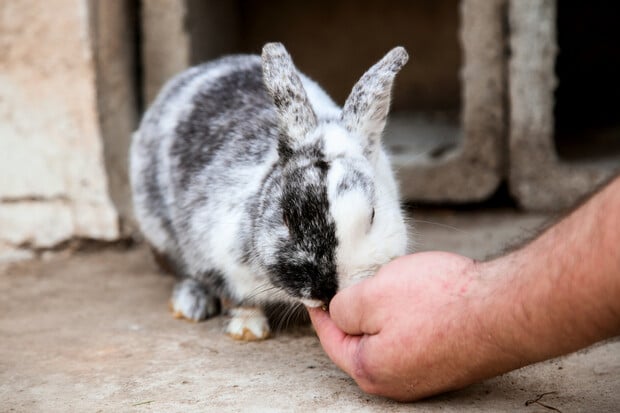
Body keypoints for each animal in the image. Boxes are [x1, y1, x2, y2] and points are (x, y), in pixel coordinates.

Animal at [130, 41, 412, 340]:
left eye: (372, 216)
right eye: (286, 218)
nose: (326, 291)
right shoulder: (216, 254)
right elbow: (238, 298)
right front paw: (248, 330)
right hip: (159, 230)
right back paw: (191, 304)